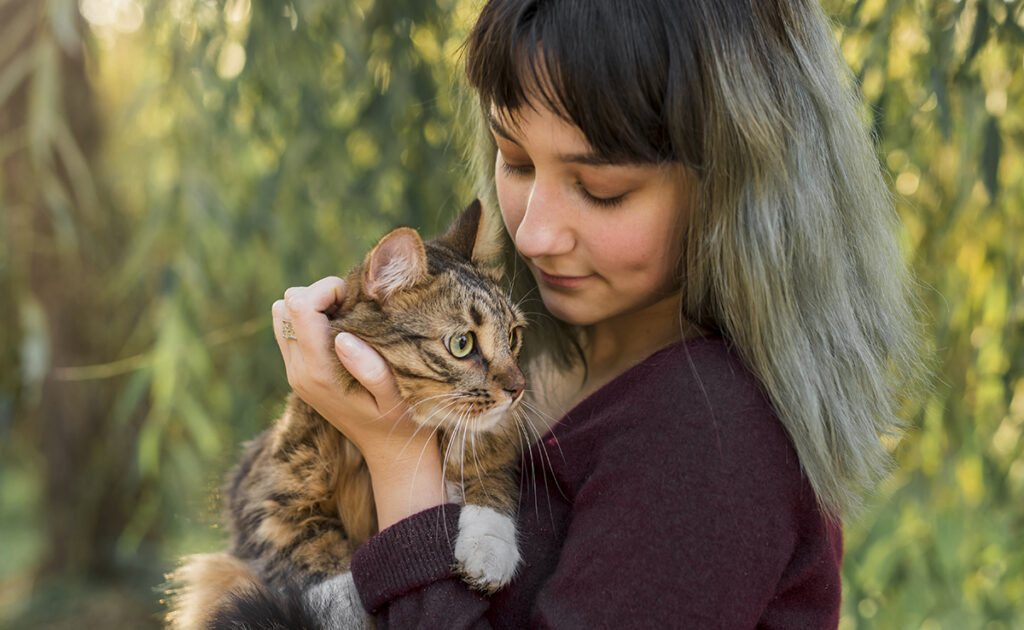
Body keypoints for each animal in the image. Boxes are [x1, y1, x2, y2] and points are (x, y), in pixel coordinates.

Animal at [166, 201, 528, 630]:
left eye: (513, 337)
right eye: (462, 344)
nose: (518, 388)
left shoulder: (494, 453)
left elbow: (491, 487)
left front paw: (489, 553)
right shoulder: (266, 500)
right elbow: (322, 562)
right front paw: (347, 611)